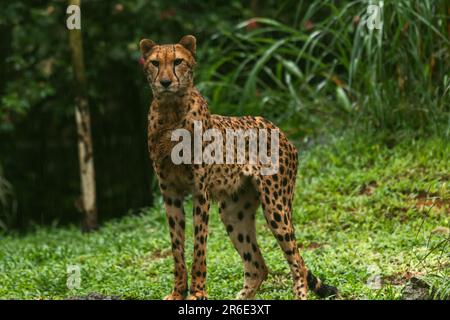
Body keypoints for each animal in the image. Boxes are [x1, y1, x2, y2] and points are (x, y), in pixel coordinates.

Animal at [141, 35, 338, 300]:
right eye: (155, 63)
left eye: (177, 61)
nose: (165, 82)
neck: (171, 111)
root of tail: (279, 129)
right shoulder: (169, 191)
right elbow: (176, 247)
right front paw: (178, 292)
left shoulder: (200, 192)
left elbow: (199, 246)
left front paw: (198, 292)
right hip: (234, 211)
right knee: (258, 266)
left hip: (275, 205)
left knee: (296, 260)